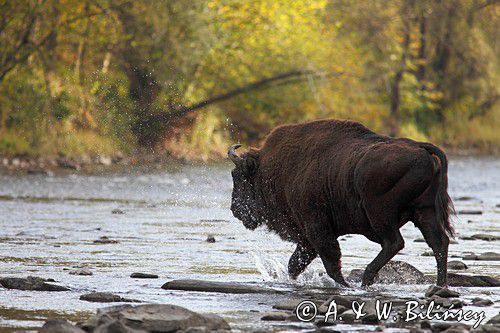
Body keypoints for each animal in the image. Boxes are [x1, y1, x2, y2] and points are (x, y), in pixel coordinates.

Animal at [229, 119, 456, 286]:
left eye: (239, 176)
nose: (235, 209)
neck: (275, 170)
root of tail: (420, 148)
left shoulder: (316, 226)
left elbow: (330, 261)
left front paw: (344, 285)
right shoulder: (307, 237)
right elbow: (295, 264)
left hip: (379, 213)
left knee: (394, 242)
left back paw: (366, 279)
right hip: (424, 212)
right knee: (438, 243)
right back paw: (440, 285)